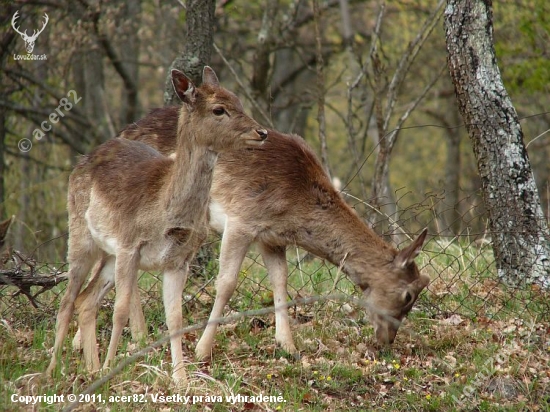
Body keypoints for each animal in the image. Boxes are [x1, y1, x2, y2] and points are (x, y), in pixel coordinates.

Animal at [47, 66, 270, 384]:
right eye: (219, 109)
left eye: (238, 101)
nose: (261, 132)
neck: (167, 211)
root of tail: (83, 159)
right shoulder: (129, 245)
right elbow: (121, 310)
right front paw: (111, 368)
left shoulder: (178, 259)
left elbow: (175, 318)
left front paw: (182, 379)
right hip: (80, 234)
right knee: (67, 300)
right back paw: (53, 370)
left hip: (108, 253)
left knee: (86, 300)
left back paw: (91, 369)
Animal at [70, 107, 432, 364]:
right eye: (407, 295)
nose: (386, 341)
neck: (297, 204)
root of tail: (126, 129)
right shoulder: (241, 218)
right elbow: (227, 283)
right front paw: (202, 350)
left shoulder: (271, 237)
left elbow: (281, 283)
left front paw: (288, 345)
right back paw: (130, 336)